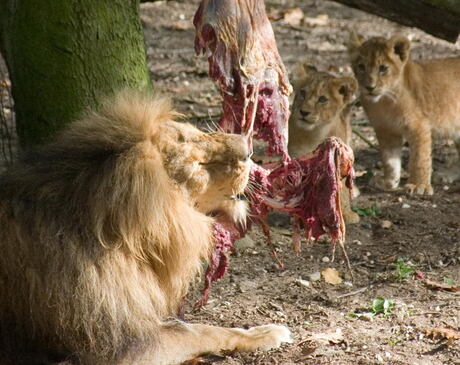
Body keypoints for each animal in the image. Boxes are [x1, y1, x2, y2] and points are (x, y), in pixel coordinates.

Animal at [0, 92, 292, 362]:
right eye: (198, 166)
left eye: (199, 133)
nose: (248, 148)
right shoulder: (115, 347)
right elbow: (198, 330)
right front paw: (264, 333)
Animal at [348, 32, 460, 195]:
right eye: (361, 66)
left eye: (383, 68)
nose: (370, 87)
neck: (384, 102)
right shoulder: (386, 131)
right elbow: (389, 160)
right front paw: (389, 182)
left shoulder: (419, 127)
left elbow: (420, 158)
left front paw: (419, 186)